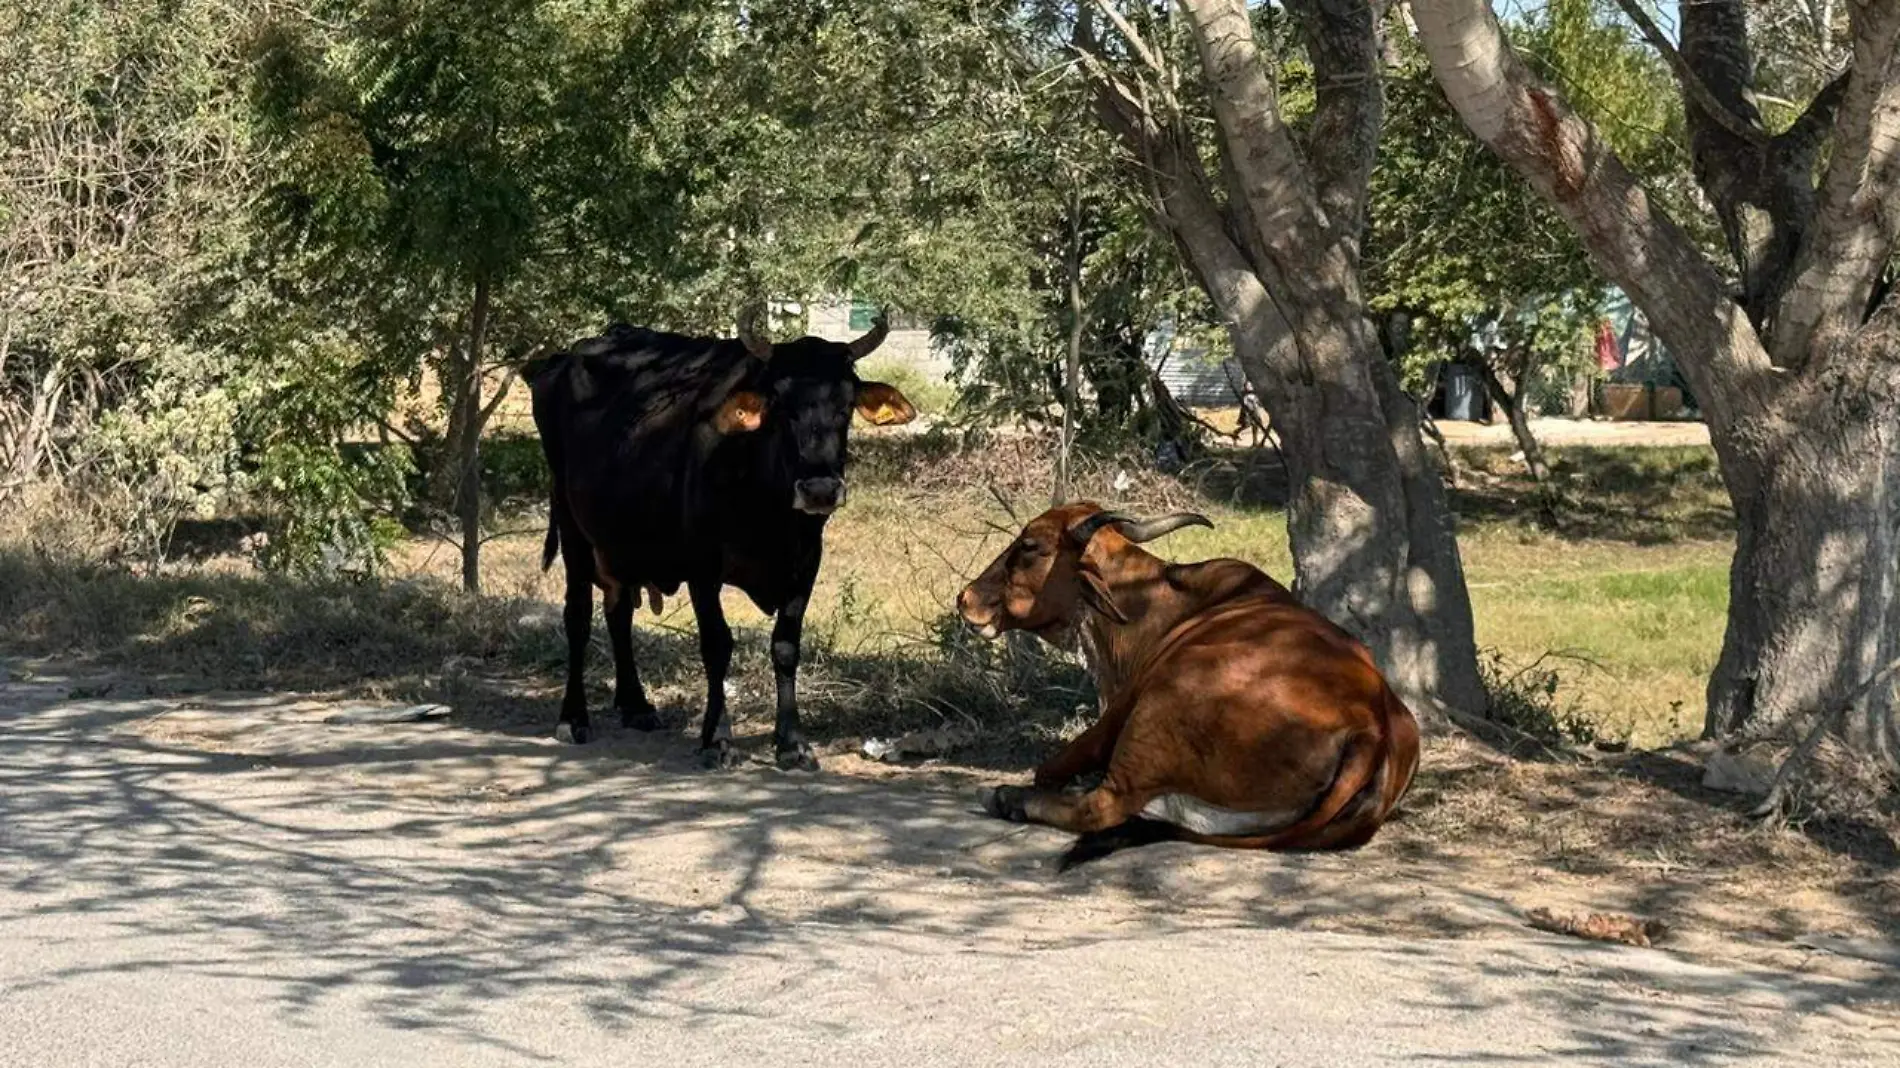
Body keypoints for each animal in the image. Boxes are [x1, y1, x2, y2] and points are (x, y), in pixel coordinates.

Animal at [532, 313, 915, 763]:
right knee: (577, 616)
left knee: (618, 612)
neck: (768, 513)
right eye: (780, 406)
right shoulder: (702, 566)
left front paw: (792, 742)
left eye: (846, 406)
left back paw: (636, 705)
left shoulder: (805, 563)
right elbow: (717, 644)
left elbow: (786, 646)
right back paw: (573, 717)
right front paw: (716, 736)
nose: (820, 490)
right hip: (573, 529)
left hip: (620, 546)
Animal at [957, 497, 1421, 855]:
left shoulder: (1118, 711)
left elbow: (1052, 767)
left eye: (1029, 545)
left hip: (1161, 702)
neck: (1156, 602)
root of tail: (1371, 727)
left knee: (1102, 807)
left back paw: (1011, 798)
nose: (966, 598)